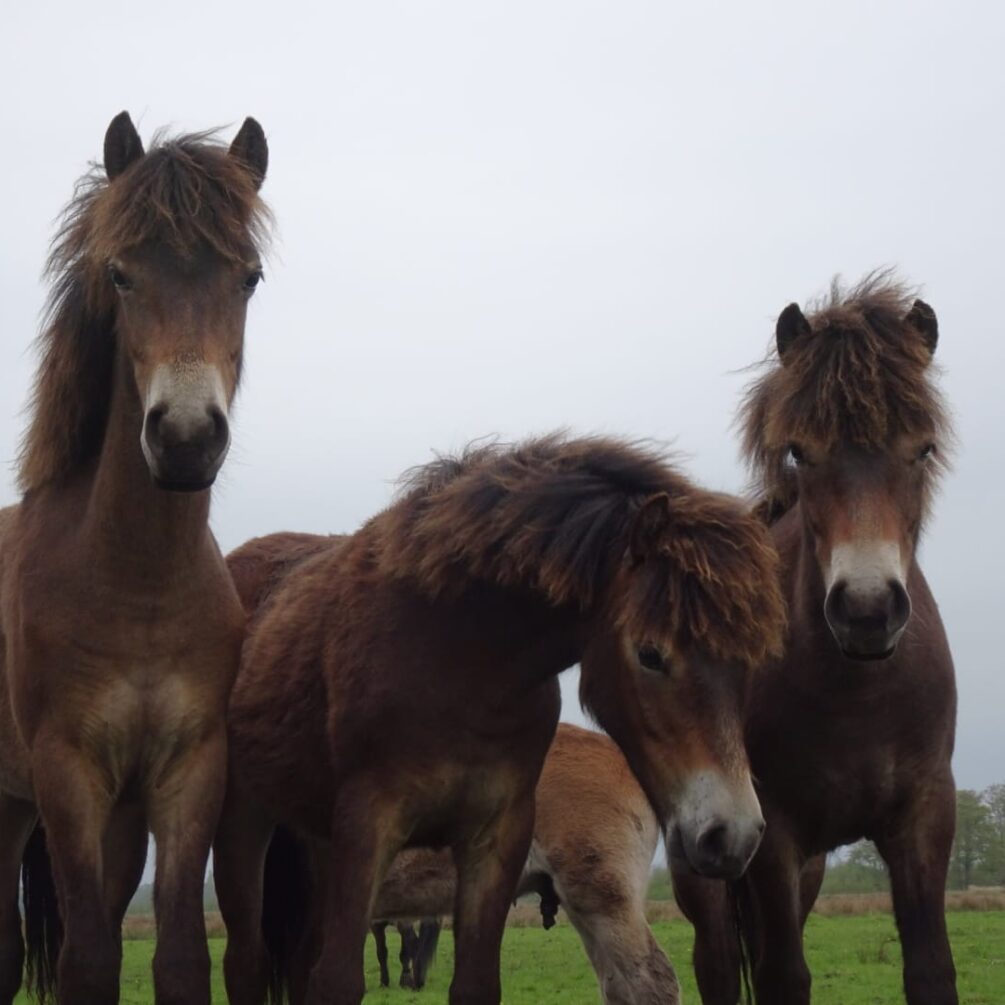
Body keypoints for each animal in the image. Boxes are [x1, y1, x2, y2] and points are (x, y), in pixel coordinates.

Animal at [0, 112, 269, 1005]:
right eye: (120, 275)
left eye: (249, 278)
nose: (184, 438)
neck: (138, 585)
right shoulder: (68, 774)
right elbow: (86, 959)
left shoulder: (187, 771)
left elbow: (177, 954)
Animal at [672, 272, 958, 1005]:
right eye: (799, 452)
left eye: (923, 449)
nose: (865, 610)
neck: (857, 691)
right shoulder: (773, 831)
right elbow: (781, 975)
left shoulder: (923, 817)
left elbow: (929, 968)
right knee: (718, 965)